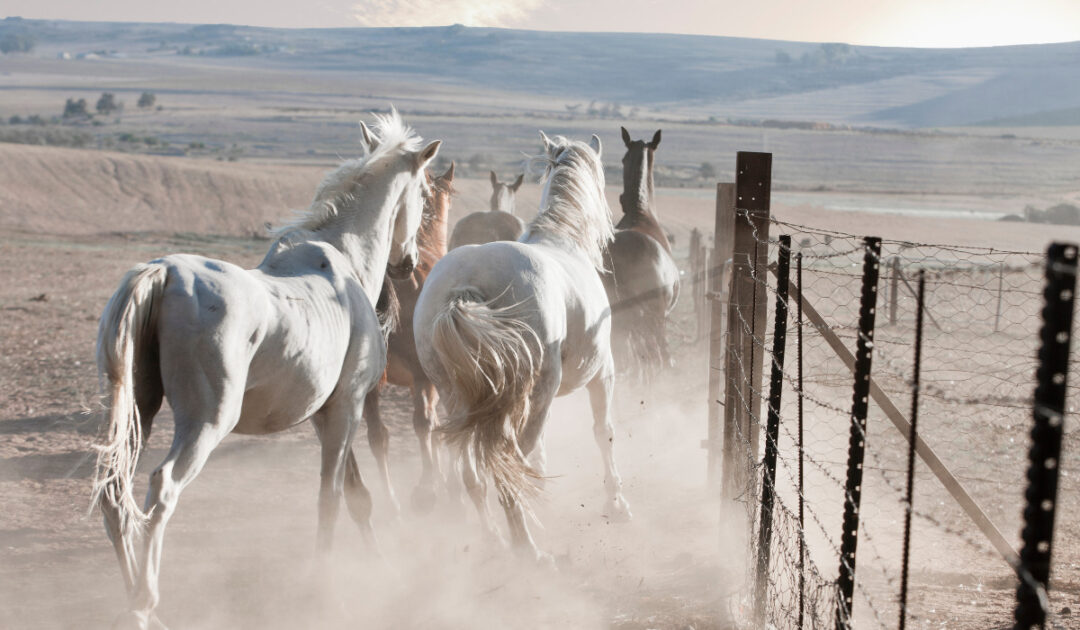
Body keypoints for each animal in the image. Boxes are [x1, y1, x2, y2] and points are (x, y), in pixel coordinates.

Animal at [91, 111, 440, 629]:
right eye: (423, 195)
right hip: (206, 422)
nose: (408, 263)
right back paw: (144, 606)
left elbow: (356, 496)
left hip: (139, 412)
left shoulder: (327, 414)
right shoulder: (348, 408)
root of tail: (164, 273)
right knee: (163, 488)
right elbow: (331, 498)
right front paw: (325, 589)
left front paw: (380, 567)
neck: (343, 261)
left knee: (114, 494)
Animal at [413, 132, 631, 565]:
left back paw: (495, 538)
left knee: (474, 474)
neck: (564, 239)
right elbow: (604, 432)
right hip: (537, 392)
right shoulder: (603, 372)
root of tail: (463, 288)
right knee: (508, 463)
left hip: (458, 399)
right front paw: (616, 504)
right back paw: (529, 549)